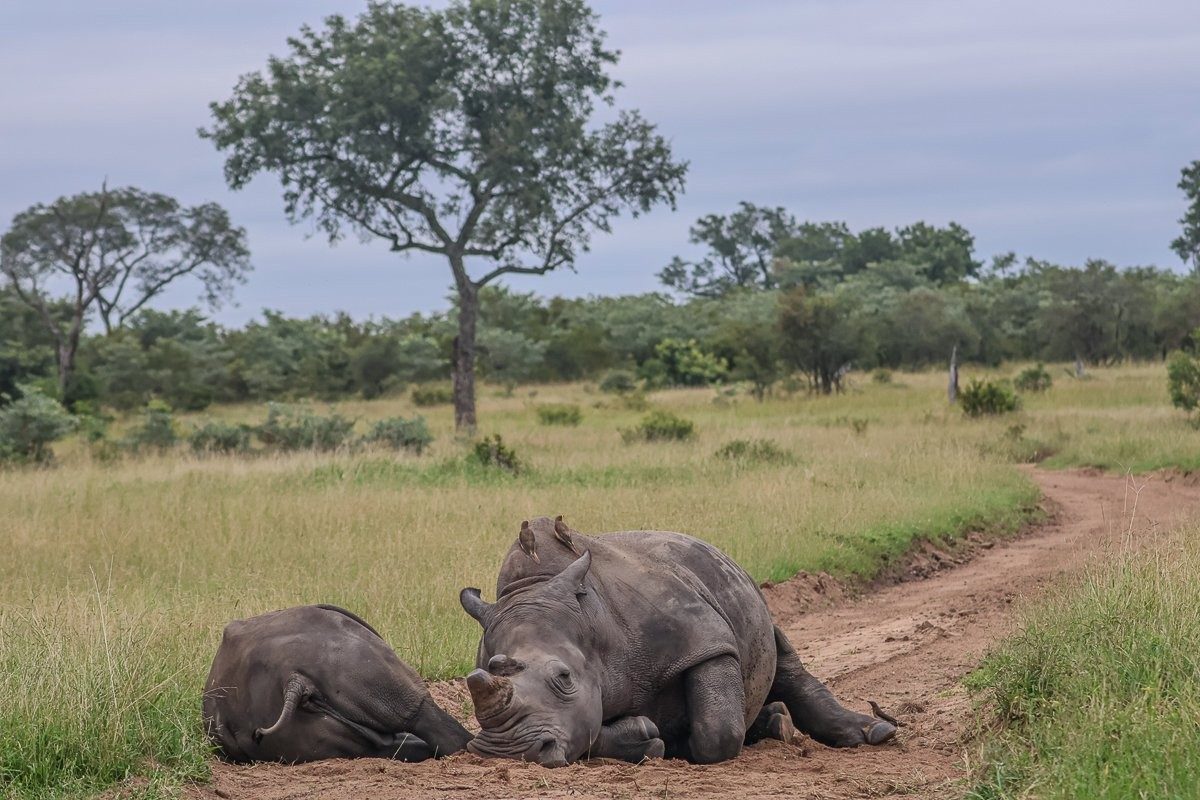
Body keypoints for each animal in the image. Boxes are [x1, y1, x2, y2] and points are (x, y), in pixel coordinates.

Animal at [459, 517, 896, 766]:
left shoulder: (703, 640)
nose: (509, 751)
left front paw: (678, 741)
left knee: (780, 657)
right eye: (482, 675)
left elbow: (718, 731)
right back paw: (775, 722)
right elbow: (592, 727)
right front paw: (646, 738)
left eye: (564, 678)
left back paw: (872, 734)